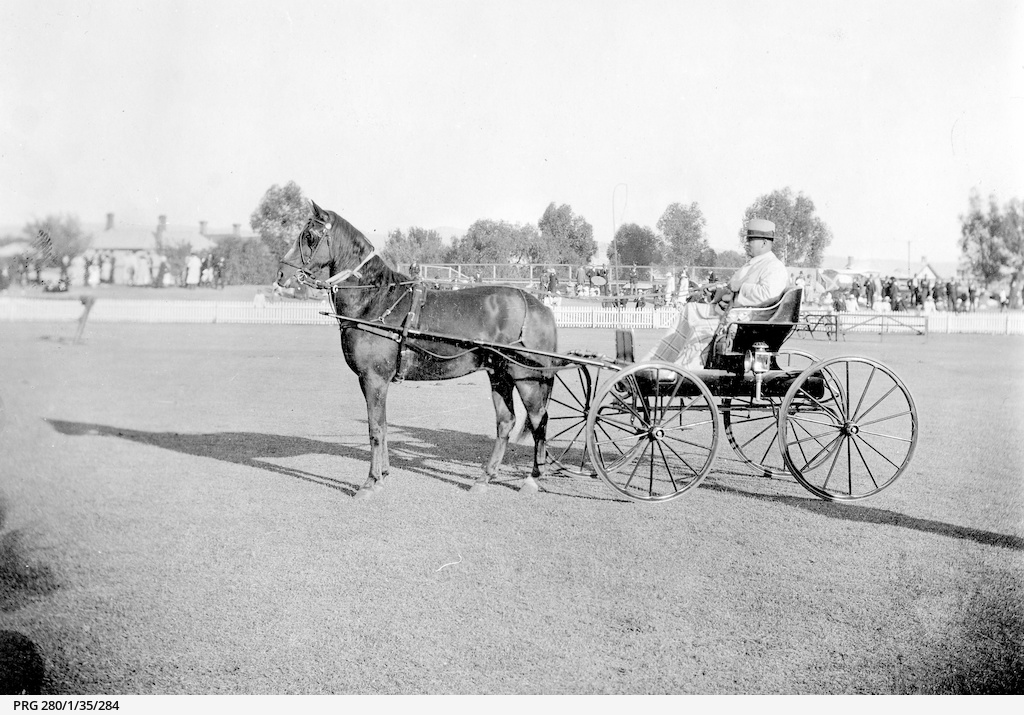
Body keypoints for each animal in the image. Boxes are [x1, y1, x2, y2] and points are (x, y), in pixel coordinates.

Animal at [276, 201, 560, 499]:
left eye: (309, 236)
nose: (282, 274)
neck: (375, 300)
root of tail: (539, 305)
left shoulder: (373, 379)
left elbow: (375, 430)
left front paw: (370, 482)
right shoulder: (377, 382)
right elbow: (383, 426)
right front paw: (383, 476)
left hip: (527, 379)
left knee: (539, 419)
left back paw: (533, 478)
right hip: (500, 375)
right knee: (506, 422)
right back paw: (485, 478)